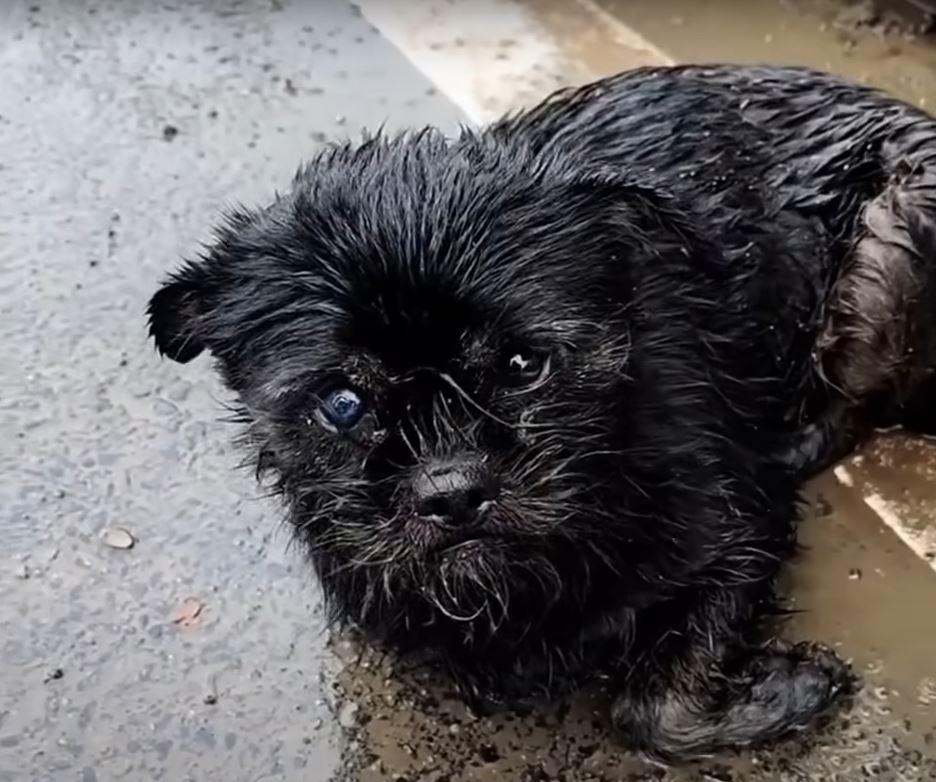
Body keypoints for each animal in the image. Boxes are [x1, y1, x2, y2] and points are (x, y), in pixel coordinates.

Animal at [148, 64, 936, 764]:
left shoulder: (740, 531)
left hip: (893, 230)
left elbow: (652, 710)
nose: (451, 491)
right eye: (342, 405)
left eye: (525, 366)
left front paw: (795, 691)